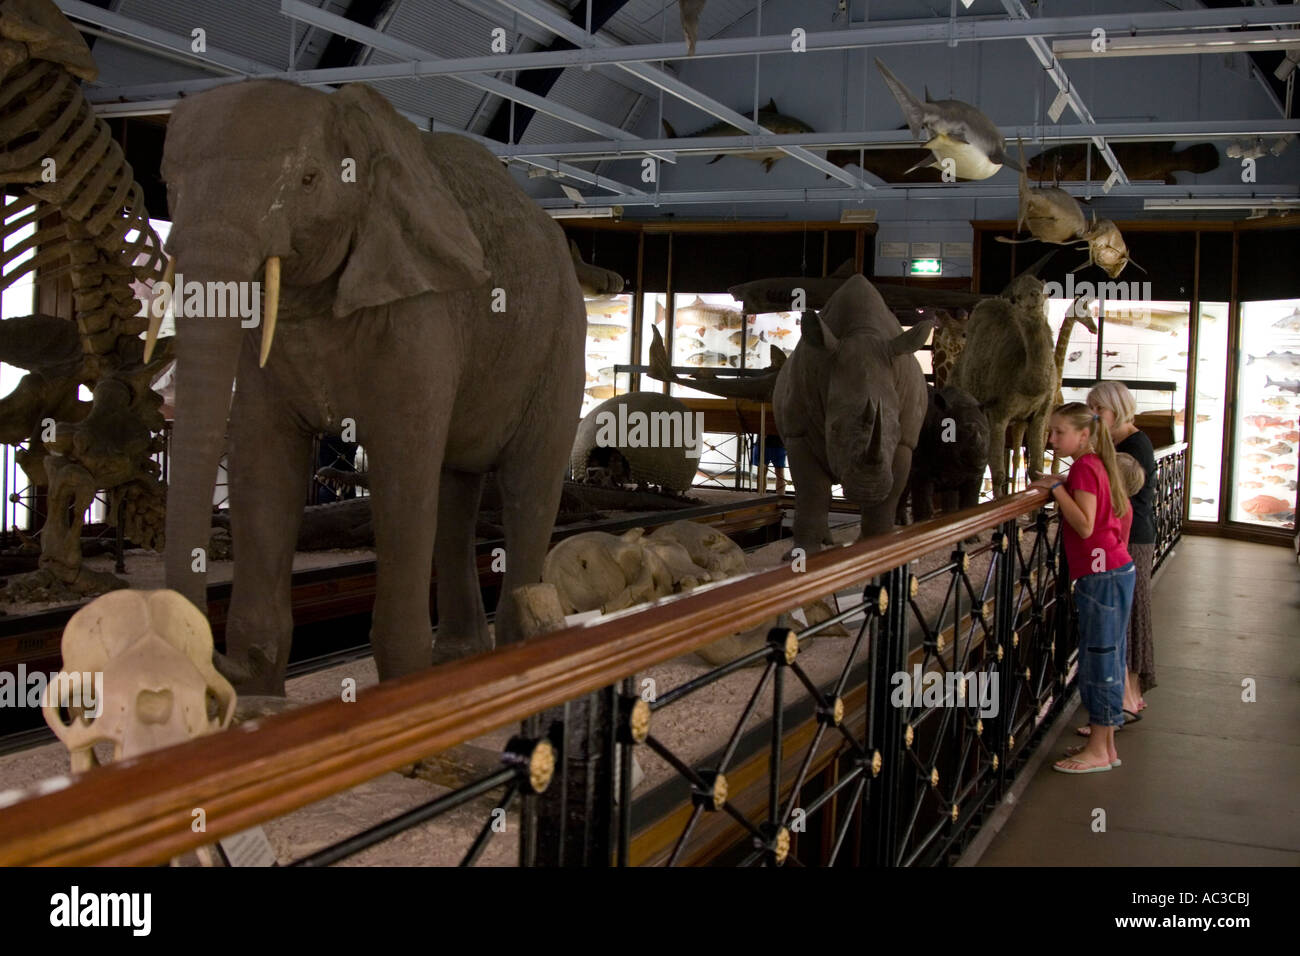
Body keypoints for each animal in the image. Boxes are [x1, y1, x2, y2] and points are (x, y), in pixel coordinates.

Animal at [156, 80, 585, 697]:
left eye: (309, 180)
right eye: (168, 183)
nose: (225, 664)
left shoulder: (421, 312)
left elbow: (402, 465)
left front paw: (408, 694)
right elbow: (263, 464)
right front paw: (263, 692)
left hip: (559, 342)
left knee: (529, 482)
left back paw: (519, 659)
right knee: (455, 488)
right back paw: (462, 661)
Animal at [774, 274, 930, 554]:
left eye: (897, 429)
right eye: (833, 429)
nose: (868, 488)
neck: (862, 332)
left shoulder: (905, 441)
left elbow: (890, 496)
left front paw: (877, 547)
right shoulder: (798, 432)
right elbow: (812, 491)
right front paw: (804, 554)